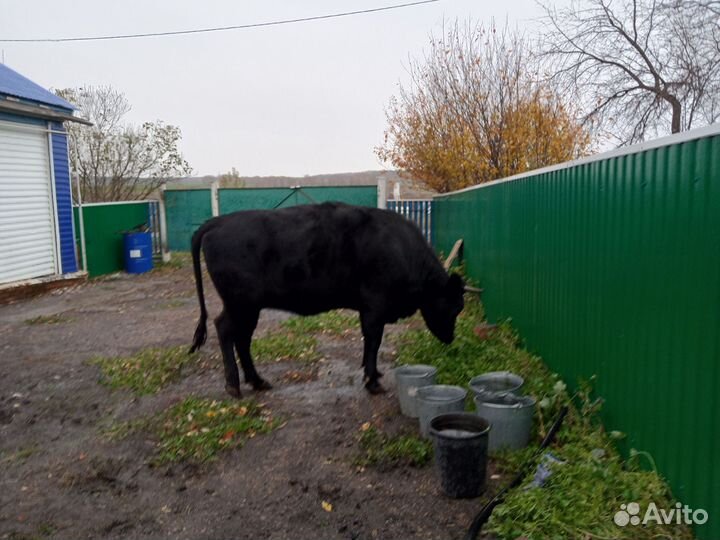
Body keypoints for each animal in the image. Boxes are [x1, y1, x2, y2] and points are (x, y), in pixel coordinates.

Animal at [189, 202, 464, 397]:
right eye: (454, 307)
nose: (451, 338)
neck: (401, 248)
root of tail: (219, 221)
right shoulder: (374, 307)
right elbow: (374, 341)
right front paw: (372, 381)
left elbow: (370, 343)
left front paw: (372, 374)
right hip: (241, 304)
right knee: (226, 330)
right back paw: (233, 385)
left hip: (249, 308)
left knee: (242, 339)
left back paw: (258, 381)